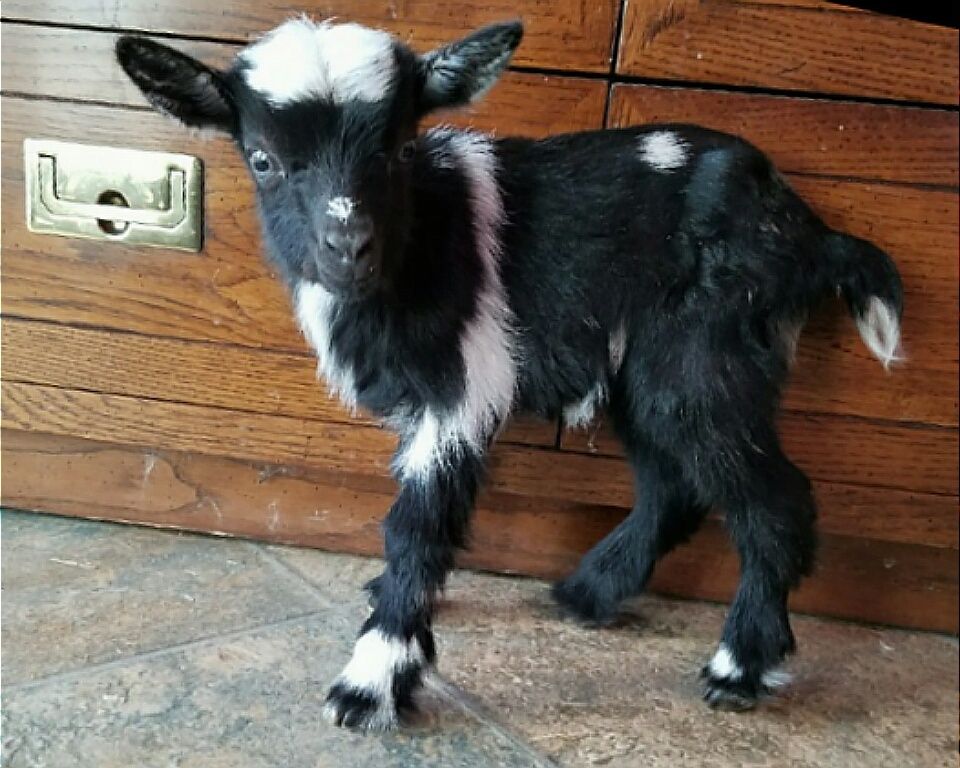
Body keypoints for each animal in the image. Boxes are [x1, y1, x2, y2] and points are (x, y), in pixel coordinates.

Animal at [117, 18, 904, 730]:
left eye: (401, 148)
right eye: (263, 160)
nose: (349, 248)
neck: (419, 245)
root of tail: (810, 232)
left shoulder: (459, 392)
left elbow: (418, 524)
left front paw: (372, 681)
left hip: (703, 355)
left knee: (772, 500)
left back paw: (739, 666)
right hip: (647, 373)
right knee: (673, 485)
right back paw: (588, 592)